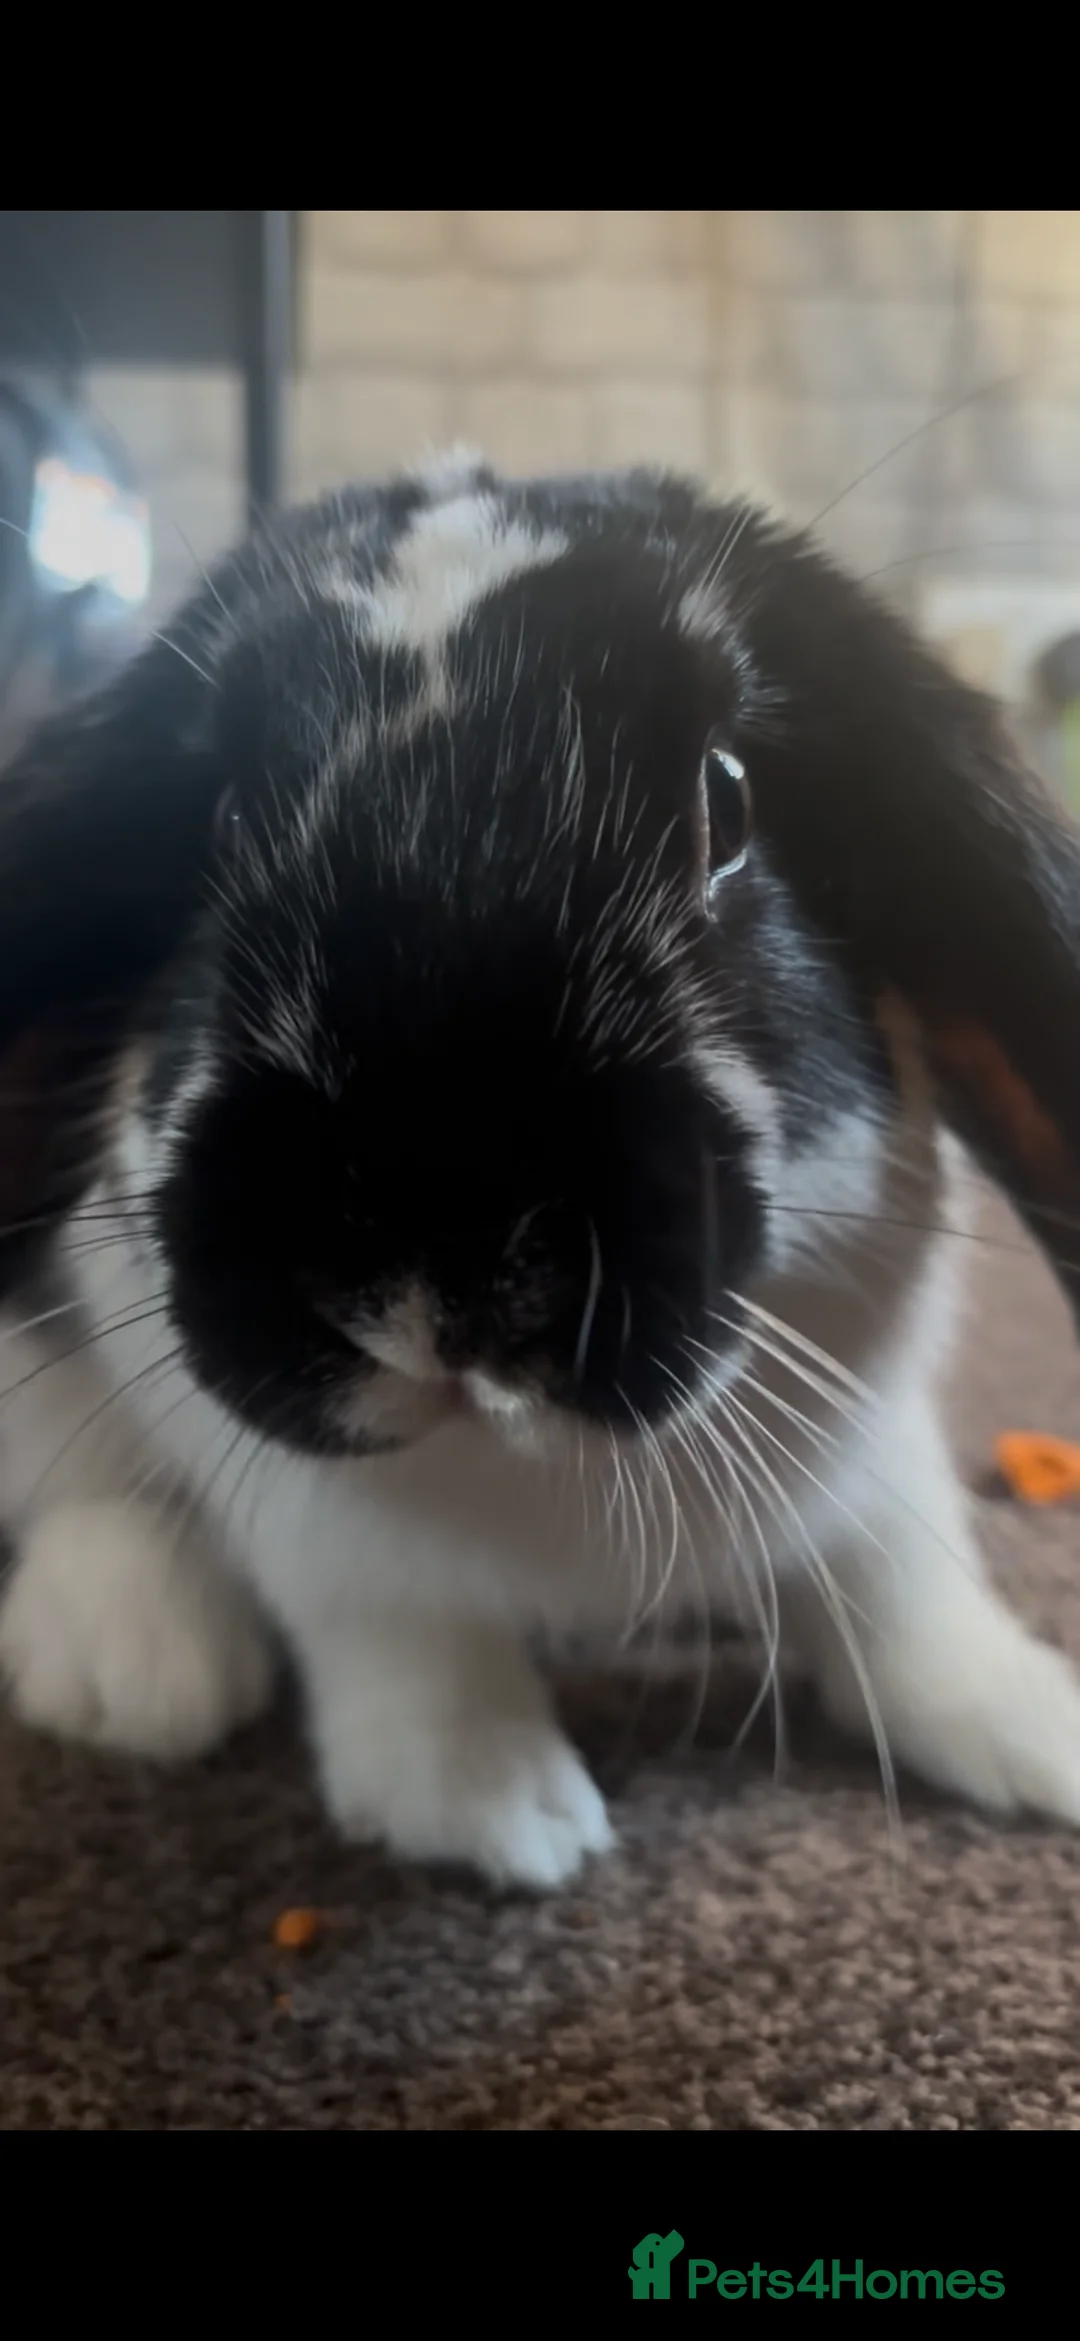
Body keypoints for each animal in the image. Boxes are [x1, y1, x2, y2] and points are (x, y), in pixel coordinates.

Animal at [2, 445, 1080, 1891]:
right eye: (219, 825)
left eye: (726, 801)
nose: (433, 1254)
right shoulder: (319, 1518)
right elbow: (395, 1615)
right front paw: (496, 1812)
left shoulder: (874, 1429)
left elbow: (898, 1566)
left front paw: (1028, 1728)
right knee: (67, 1470)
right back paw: (132, 1665)